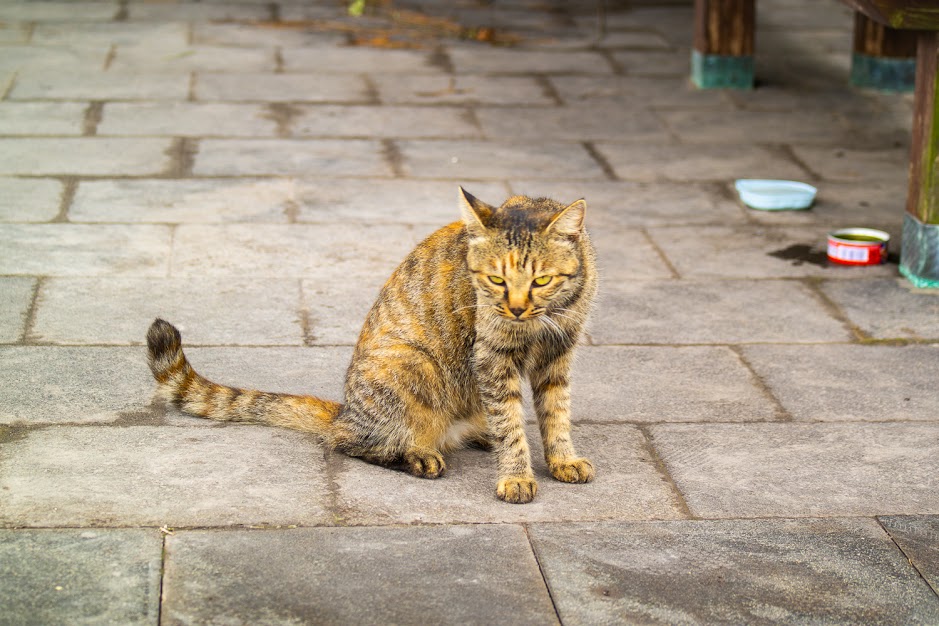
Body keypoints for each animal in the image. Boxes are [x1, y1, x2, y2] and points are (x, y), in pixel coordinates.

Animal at [150, 185, 600, 502]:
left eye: (541, 279)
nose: (517, 309)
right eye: (495, 280)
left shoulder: (559, 356)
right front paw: (516, 474)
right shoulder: (492, 358)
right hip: (414, 366)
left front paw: (561, 458)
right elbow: (510, 423)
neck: (544, 319)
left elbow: (556, 412)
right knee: (348, 440)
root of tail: (345, 409)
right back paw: (418, 453)